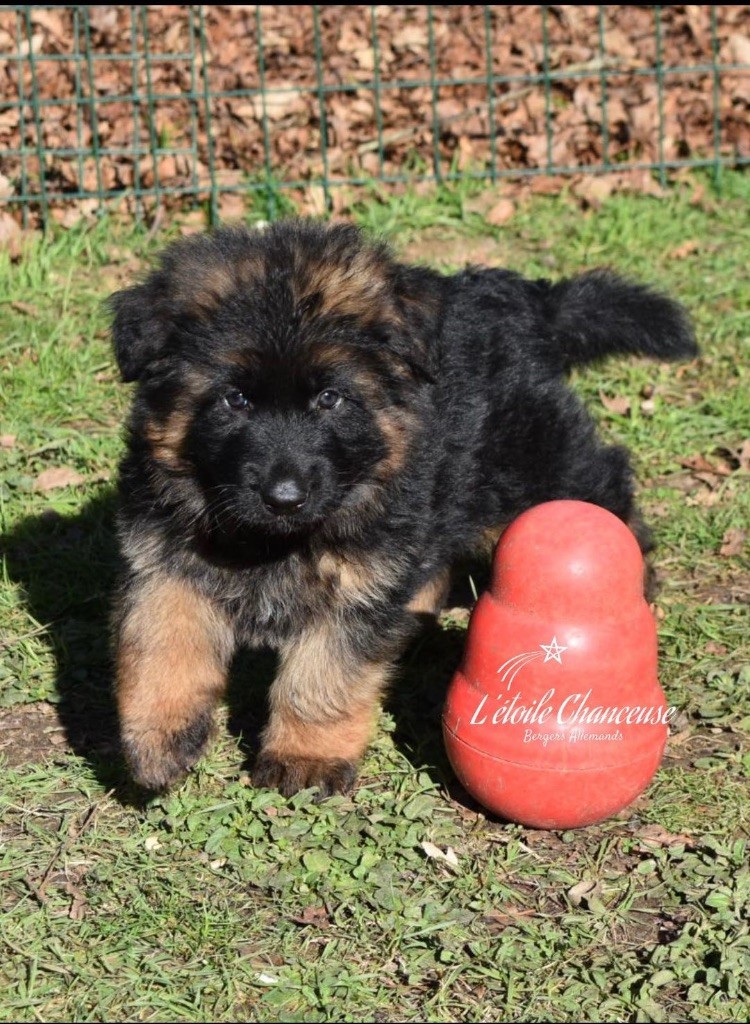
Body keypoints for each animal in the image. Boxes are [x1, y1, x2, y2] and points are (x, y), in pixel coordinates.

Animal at [108, 220, 692, 794]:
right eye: (235, 399)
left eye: (330, 398)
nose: (284, 498)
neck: (273, 542)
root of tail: (517, 298)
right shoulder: (163, 558)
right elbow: (160, 640)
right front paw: (160, 736)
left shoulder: (358, 587)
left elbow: (321, 676)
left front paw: (306, 756)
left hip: (537, 468)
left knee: (602, 483)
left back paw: (636, 576)